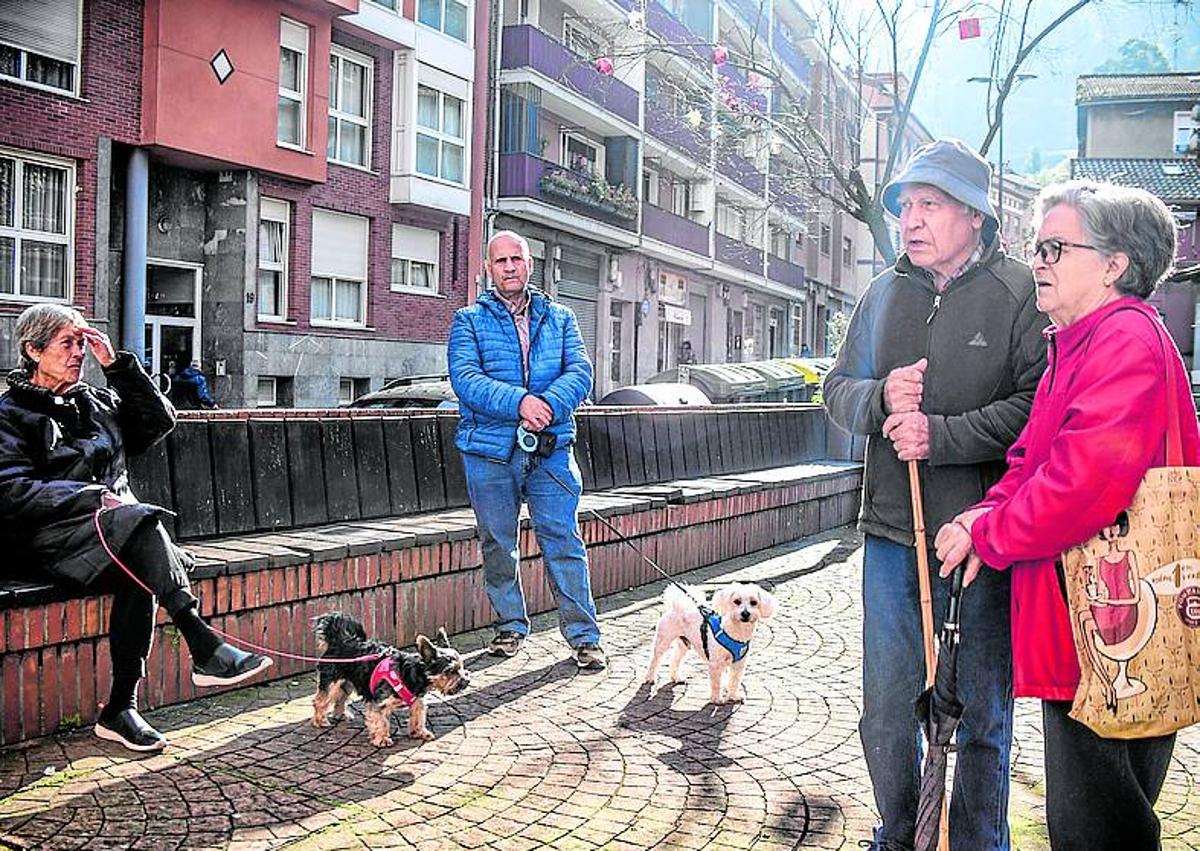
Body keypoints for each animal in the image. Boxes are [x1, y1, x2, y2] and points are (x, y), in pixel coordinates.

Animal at [309, 609, 468, 744]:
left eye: (461, 667)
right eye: (450, 671)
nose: (466, 681)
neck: (412, 672)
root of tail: (338, 641)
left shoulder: (417, 701)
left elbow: (418, 717)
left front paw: (419, 732)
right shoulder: (380, 703)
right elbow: (381, 721)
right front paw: (382, 739)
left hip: (346, 682)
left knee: (340, 697)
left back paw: (341, 714)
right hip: (332, 681)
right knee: (320, 700)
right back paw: (320, 721)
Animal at [648, 578, 777, 705]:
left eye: (754, 602)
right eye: (737, 601)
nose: (745, 613)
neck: (736, 632)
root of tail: (676, 605)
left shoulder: (739, 664)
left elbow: (734, 681)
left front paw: (733, 696)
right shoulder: (716, 664)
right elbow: (716, 683)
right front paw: (716, 699)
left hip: (684, 644)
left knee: (675, 659)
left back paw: (676, 677)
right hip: (663, 641)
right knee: (655, 659)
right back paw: (650, 678)